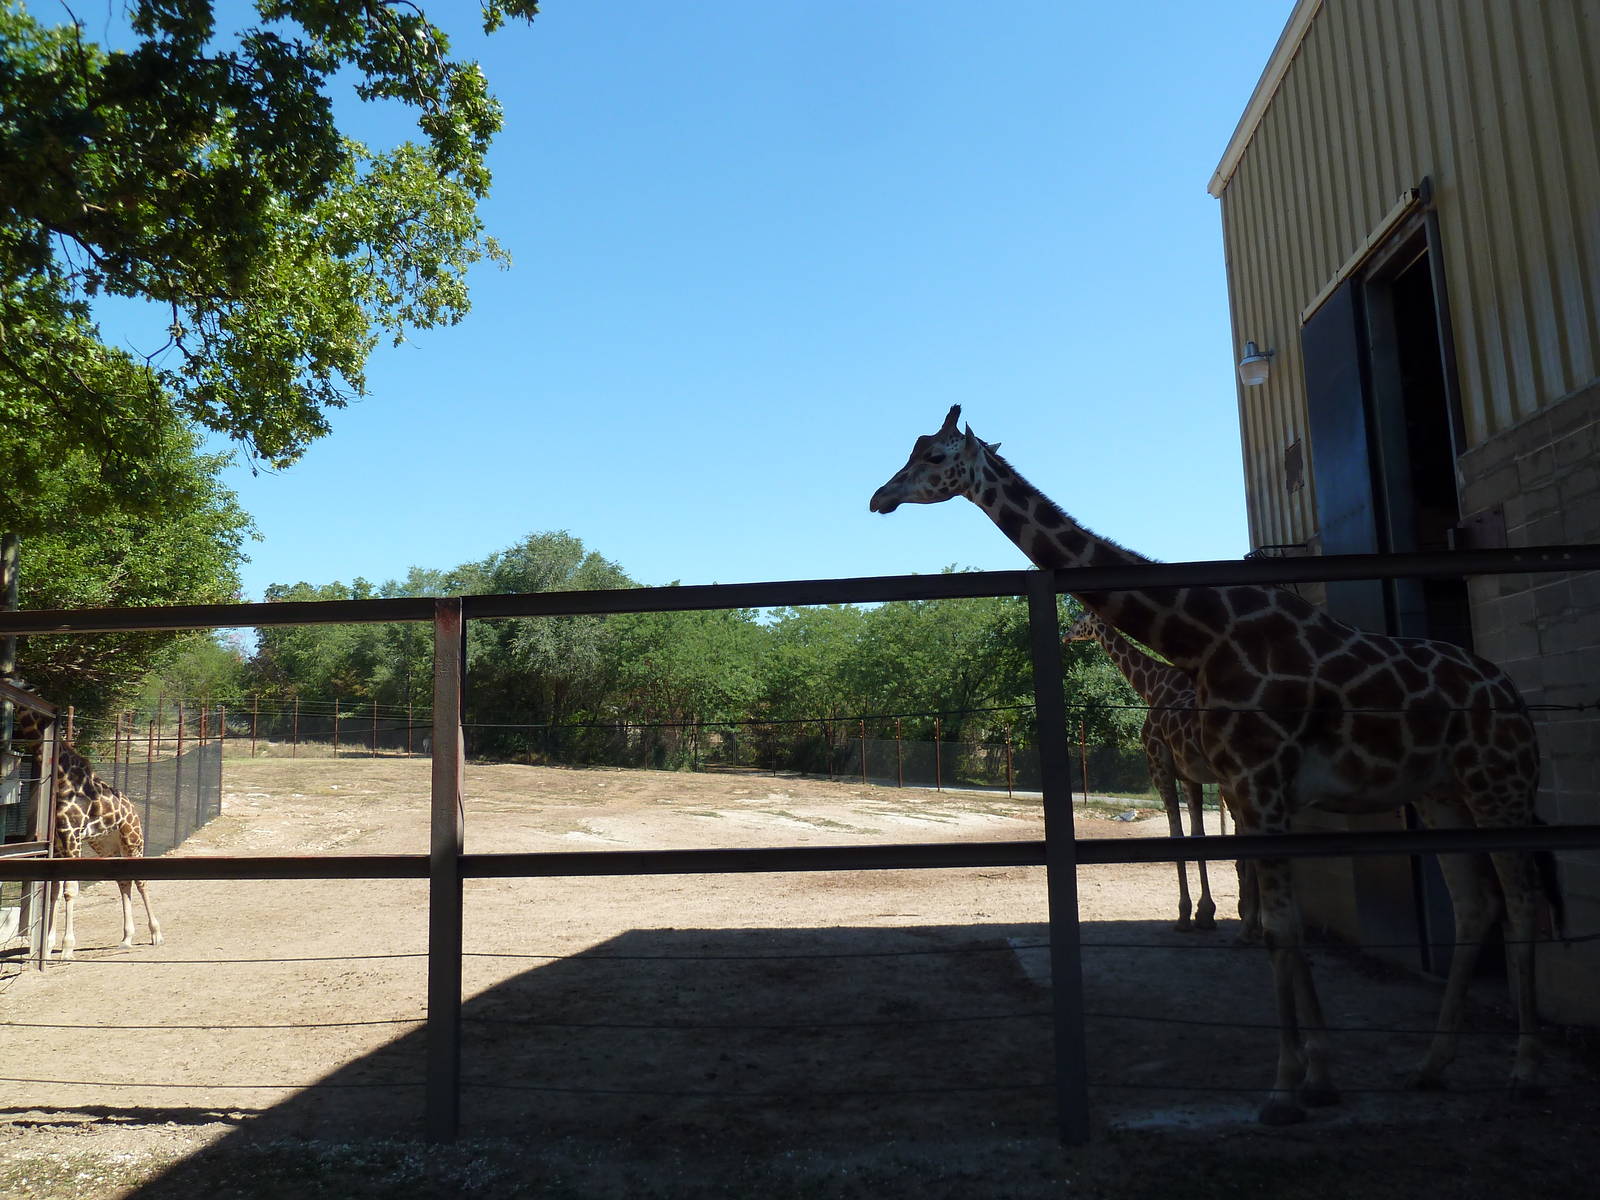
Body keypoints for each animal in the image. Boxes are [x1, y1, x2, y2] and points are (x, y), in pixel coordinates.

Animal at [5, 700, 163, 960]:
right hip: (107, 847)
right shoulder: (58, 842)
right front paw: (48, 947)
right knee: (124, 881)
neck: (62, 776)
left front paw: (67, 948)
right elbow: (54, 890)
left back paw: (156, 935)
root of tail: (133, 810)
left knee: (141, 881)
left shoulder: (72, 834)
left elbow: (70, 890)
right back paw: (126, 939)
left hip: (132, 839)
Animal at [1065, 610, 1260, 939]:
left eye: (1080, 620)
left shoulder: (1160, 766)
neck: (1151, 686)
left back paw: (1249, 924)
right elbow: (1197, 834)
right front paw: (1205, 914)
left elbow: (1176, 834)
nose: (1066, 635)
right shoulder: (1190, 777)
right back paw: (1253, 919)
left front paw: (1184, 915)